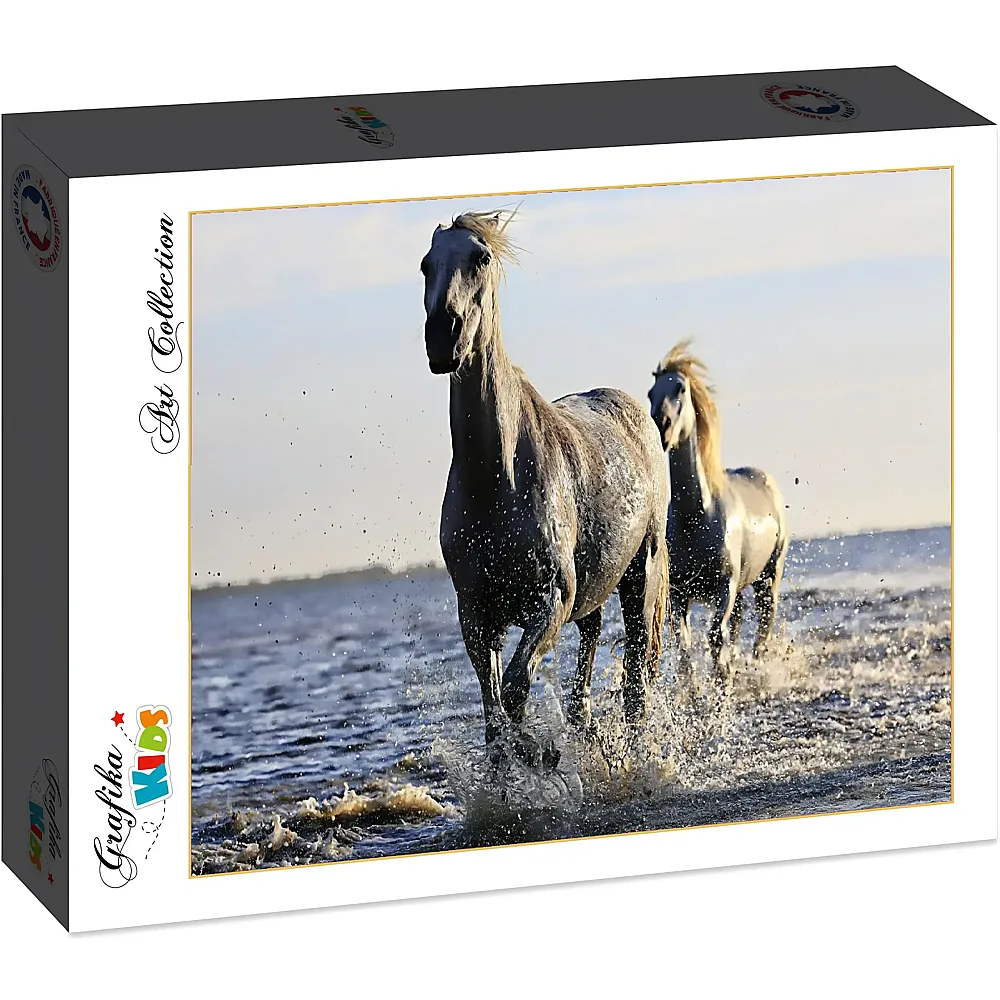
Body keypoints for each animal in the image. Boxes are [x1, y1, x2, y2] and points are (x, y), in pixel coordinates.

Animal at [421, 210, 669, 757]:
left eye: (480, 257)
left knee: (637, 678)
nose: (443, 335)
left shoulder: (549, 602)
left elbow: (515, 691)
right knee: (590, 651)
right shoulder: (476, 615)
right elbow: (494, 716)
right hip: (595, 588)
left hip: (640, 577)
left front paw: (541, 755)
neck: (496, 479)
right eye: (427, 264)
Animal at [647, 341, 788, 679]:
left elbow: (715, 637)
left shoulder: (724, 587)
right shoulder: (680, 594)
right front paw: (696, 688)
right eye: (650, 393)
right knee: (738, 623)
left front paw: (721, 680)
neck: (696, 517)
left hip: (768, 576)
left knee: (763, 623)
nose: (662, 426)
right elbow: (684, 645)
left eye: (681, 388)